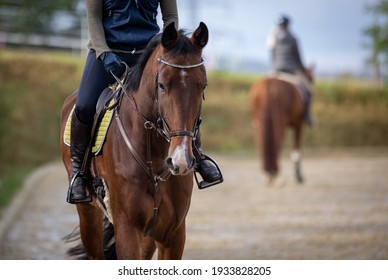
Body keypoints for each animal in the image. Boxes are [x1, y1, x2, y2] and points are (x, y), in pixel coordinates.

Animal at [59, 22, 209, 260]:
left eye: (203, 86)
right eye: (162, 85)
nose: (180, 161)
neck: (154, 155)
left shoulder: (173, 234)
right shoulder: (127, 228)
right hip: (88, 214)